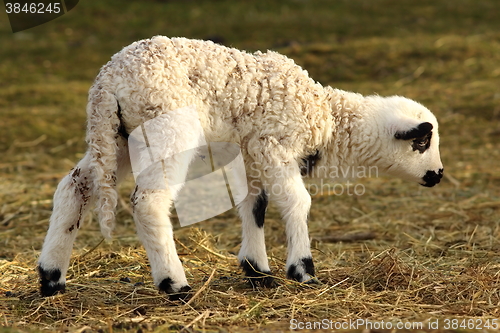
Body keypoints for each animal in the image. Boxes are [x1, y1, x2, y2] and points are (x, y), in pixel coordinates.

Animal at [40, 36, 446, 298]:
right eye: (422, 142)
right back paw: (175, 284)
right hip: (167, 126)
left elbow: (256, 204)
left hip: (116, 137)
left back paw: (51, 278)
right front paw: (303, 270)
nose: (438, 174)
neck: (327, 117)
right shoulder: (274, 144)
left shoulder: (252, 154)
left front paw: (256, 270)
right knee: (149, 201)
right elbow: (297, 202)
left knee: (74, 186)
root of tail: (107, 81)